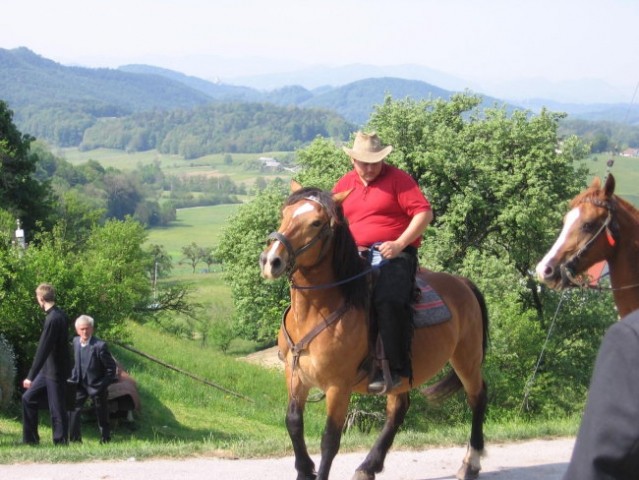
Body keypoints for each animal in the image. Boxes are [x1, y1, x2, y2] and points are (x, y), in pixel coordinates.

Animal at [258, 184, 488, 480]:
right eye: (284, 214)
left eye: (316, 223)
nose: (270, 260)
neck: (316, 311)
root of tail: (463, 283)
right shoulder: (295, 374)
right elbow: (294, 423)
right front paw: (305, 470)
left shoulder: (338, 386)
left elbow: (330, 439)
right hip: (403, 375)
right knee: (398, 411)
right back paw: (369, 466)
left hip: (466, 359)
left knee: (478, 398)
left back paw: (471, 463)